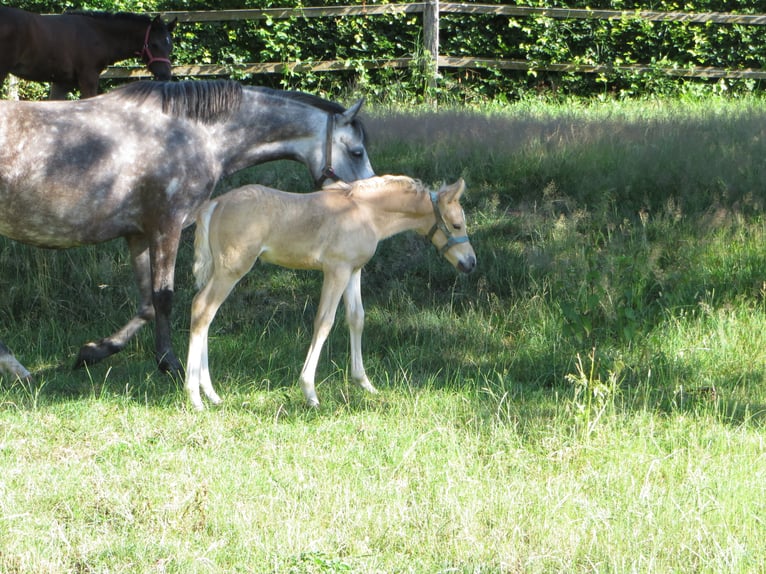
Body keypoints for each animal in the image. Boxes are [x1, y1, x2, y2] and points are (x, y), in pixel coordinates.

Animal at [0, 7, 176, 99]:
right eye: (154, 44)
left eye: (170, 46)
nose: (165, 75)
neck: (99, 33)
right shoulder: (88, 78)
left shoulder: (61, 82)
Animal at [0, 79, 376, 380]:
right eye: (357, 152)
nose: (369, 200)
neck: (193, 135)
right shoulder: (167, 226)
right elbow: (164, 298)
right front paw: (170, 363)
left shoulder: (139, 234)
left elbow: (147, 304)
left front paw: (92, 352)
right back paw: (16, 368)